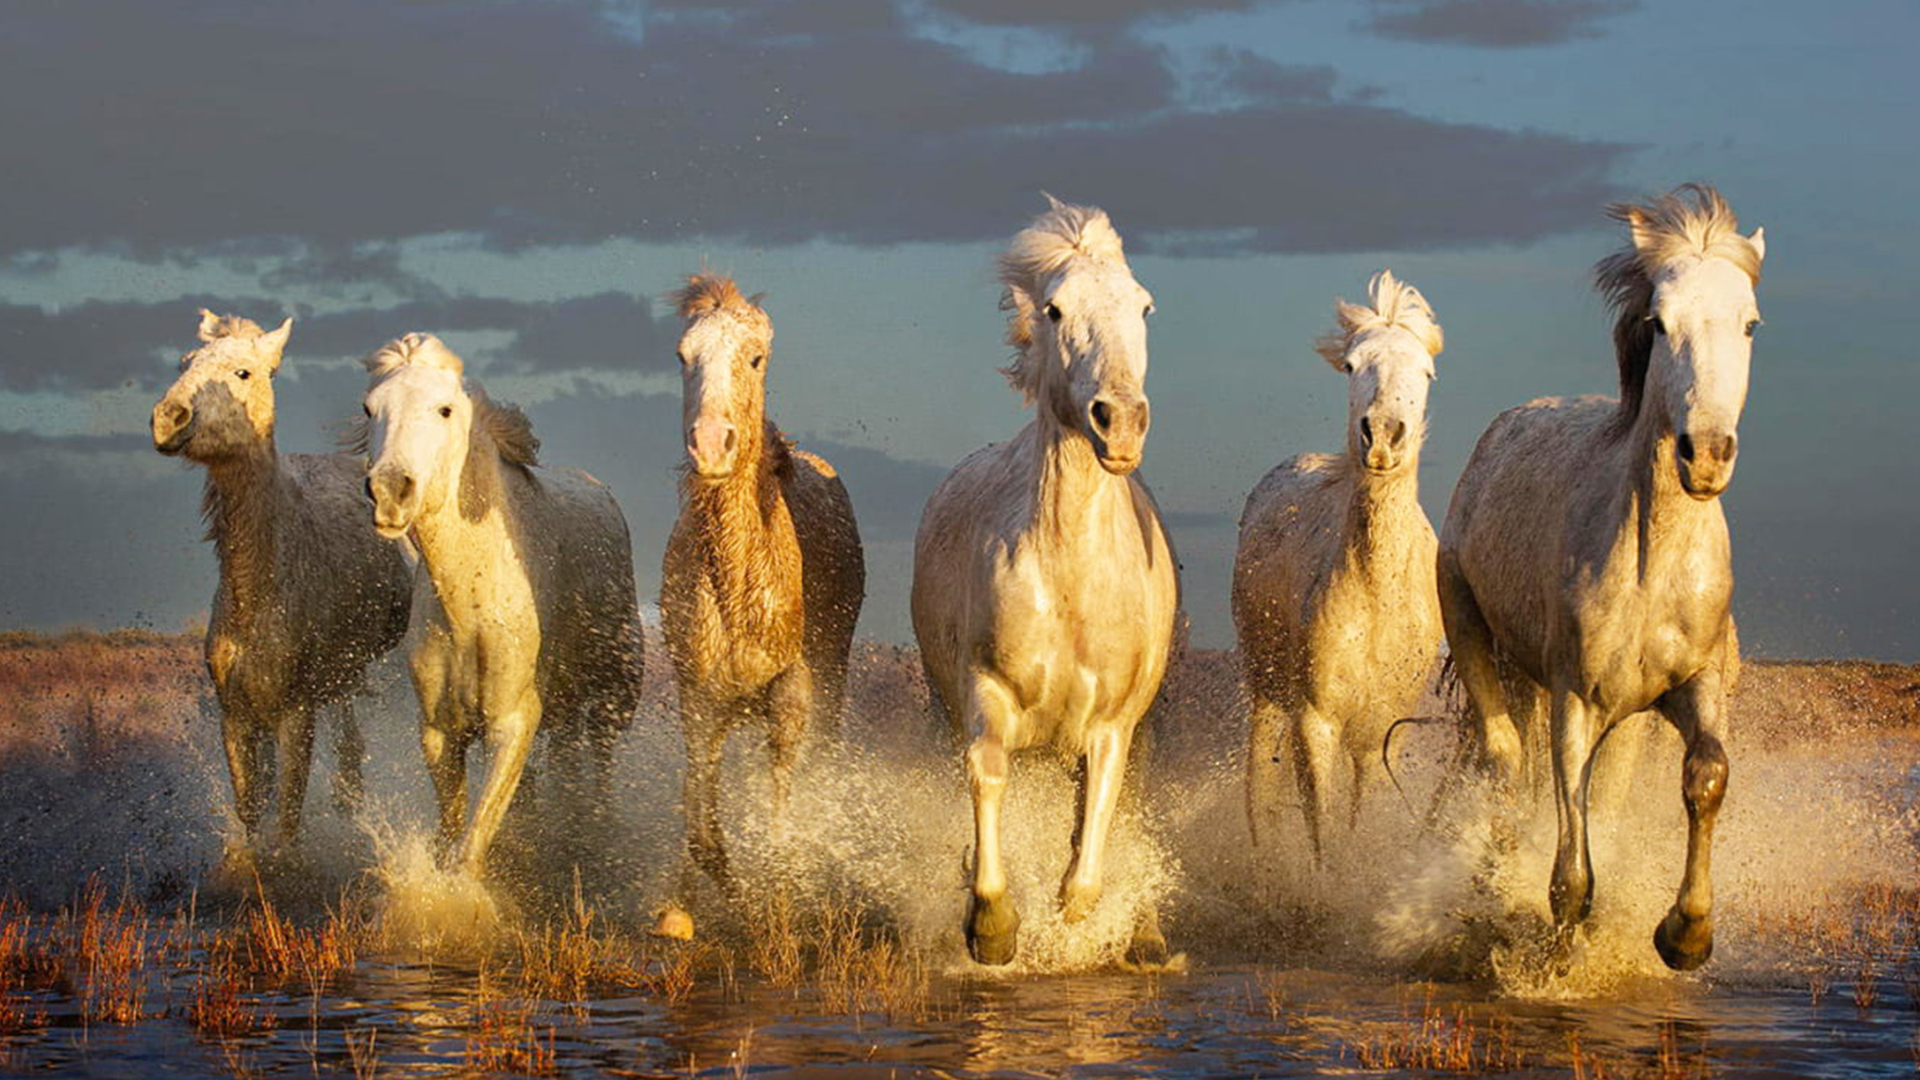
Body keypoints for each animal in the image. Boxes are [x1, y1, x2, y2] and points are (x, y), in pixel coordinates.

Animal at [349, 332, 641, 868]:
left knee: (600, 758)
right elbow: (454, 828)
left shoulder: (511, 722)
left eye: (444, 409)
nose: (390, 491)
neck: (470, 606)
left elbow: (470, 846)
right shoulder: (440, 731)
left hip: (613, 693)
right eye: (369, 407)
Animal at [906, 197, 1175, 960]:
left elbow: (1094, 831)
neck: (1071, 580)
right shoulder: (985, 691)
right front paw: (991, 924)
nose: (1120, 422)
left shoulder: (1111, 724)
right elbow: (986, 776)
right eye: (1055, 309)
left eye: (1144, 306)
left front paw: (1079, 913)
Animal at [1228, 270, 1443, 864]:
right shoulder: (1315, 720)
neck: (1375, 595)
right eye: (1351, 365)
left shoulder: (1380, 730)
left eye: (1426, 370)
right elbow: (1321, 827)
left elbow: (1356, 819)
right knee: (1260, 787)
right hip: (1266, 687)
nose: (1383, 435)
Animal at [1443, 184, 1766, 968]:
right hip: (1474, 629)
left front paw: (1685, 935)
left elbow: (1707, 775)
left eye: (1748, 323)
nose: (1706, 454)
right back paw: (1491, 885)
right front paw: (1559, 955)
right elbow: (1569, 866)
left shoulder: (1695, 684)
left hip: (1624, 716)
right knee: (1504, 761)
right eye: (1660, 322)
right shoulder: (1576, 700)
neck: (1654, 568)